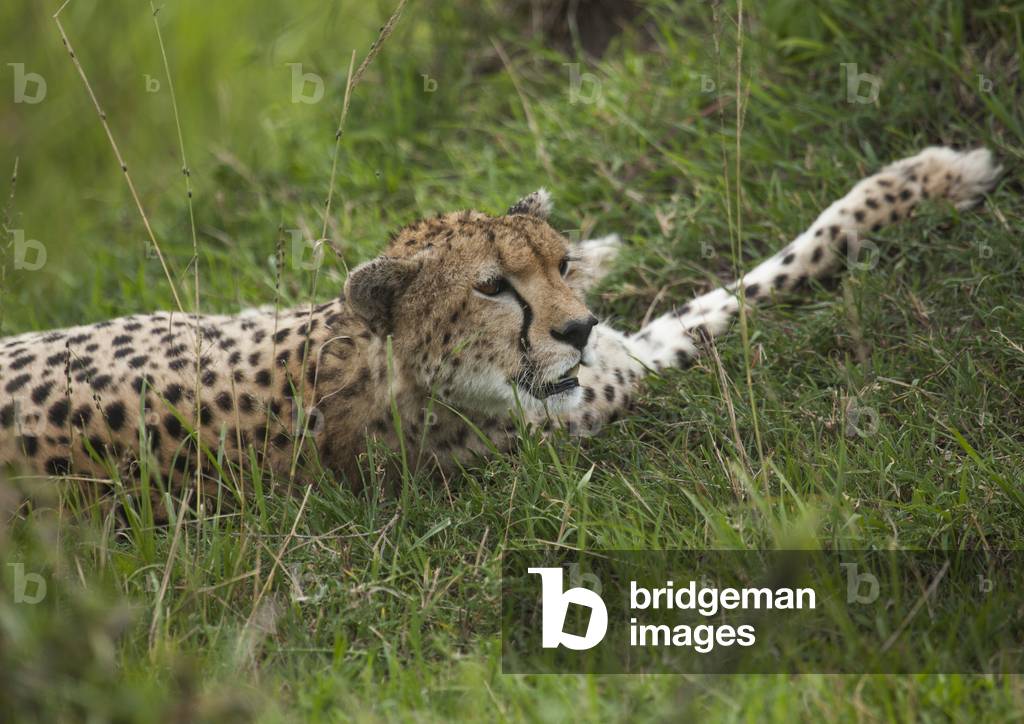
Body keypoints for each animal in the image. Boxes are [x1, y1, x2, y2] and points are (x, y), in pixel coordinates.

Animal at [0, 146, 1003, 506]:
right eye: (490, 288)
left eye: (549, 266)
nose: (575, 328)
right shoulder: (611, 382)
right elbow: (751, 290)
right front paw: (937, 178)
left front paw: (924, 178)